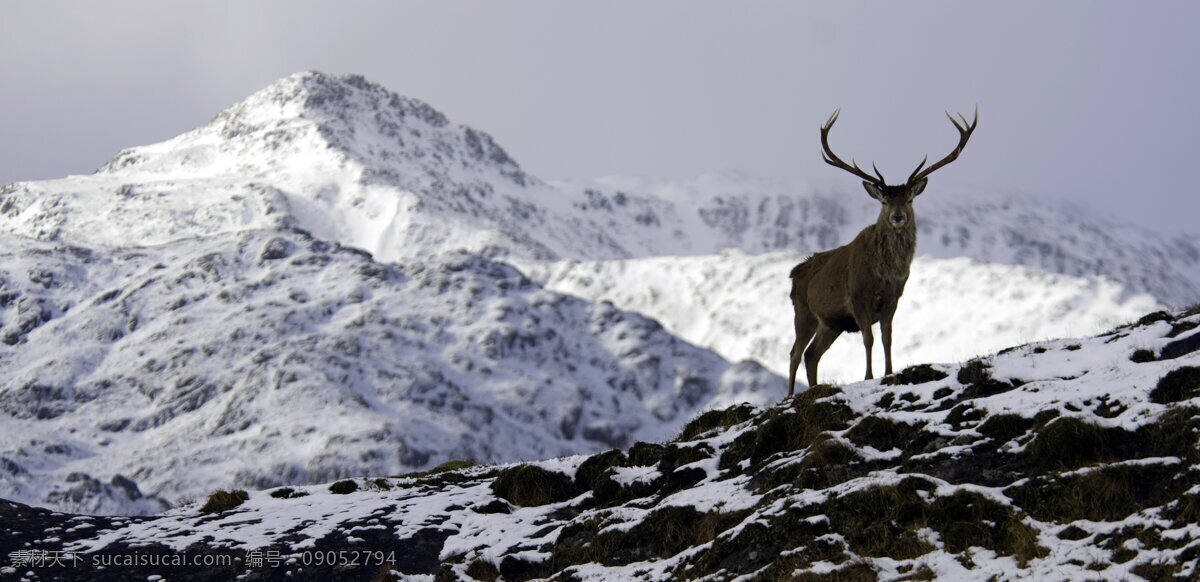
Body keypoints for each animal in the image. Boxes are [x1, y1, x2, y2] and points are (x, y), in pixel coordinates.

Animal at [786, 108, 977, 397]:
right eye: (885, 201)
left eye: (909, 198)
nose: (898, 216)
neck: (884, 275)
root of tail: (795, 273)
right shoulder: (857, 299)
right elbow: (869, 339)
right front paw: (868, 375)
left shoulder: (893, 300)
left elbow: (888, 337)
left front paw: (888, 372)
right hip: (803, 312)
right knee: (795, 353)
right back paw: (788, 395)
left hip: (831, 323)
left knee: (811, 355)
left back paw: (814, 388)